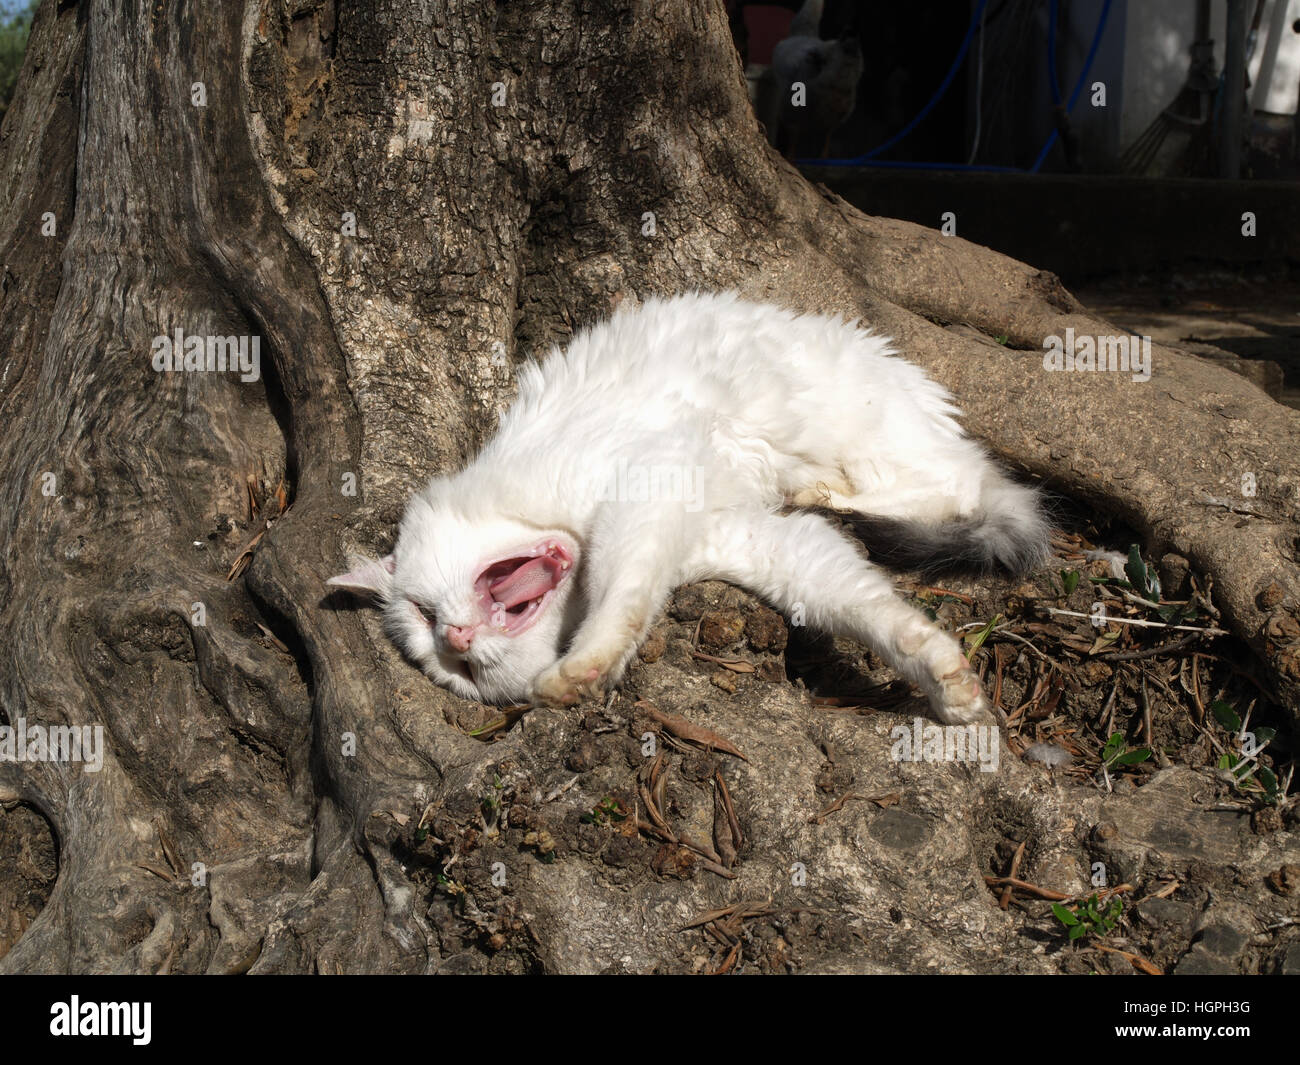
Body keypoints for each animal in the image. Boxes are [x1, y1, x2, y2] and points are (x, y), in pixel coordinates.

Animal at [325, 291, 1045, 723]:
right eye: (460, 670)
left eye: (424, 614)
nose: (454, 637)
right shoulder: (752, 544)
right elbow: (871, 612)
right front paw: (949, 683)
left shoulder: (646, 485)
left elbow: (617, 595)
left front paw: (579, 671)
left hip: (881, 440)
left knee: (963, 493)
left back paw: (826, 491)